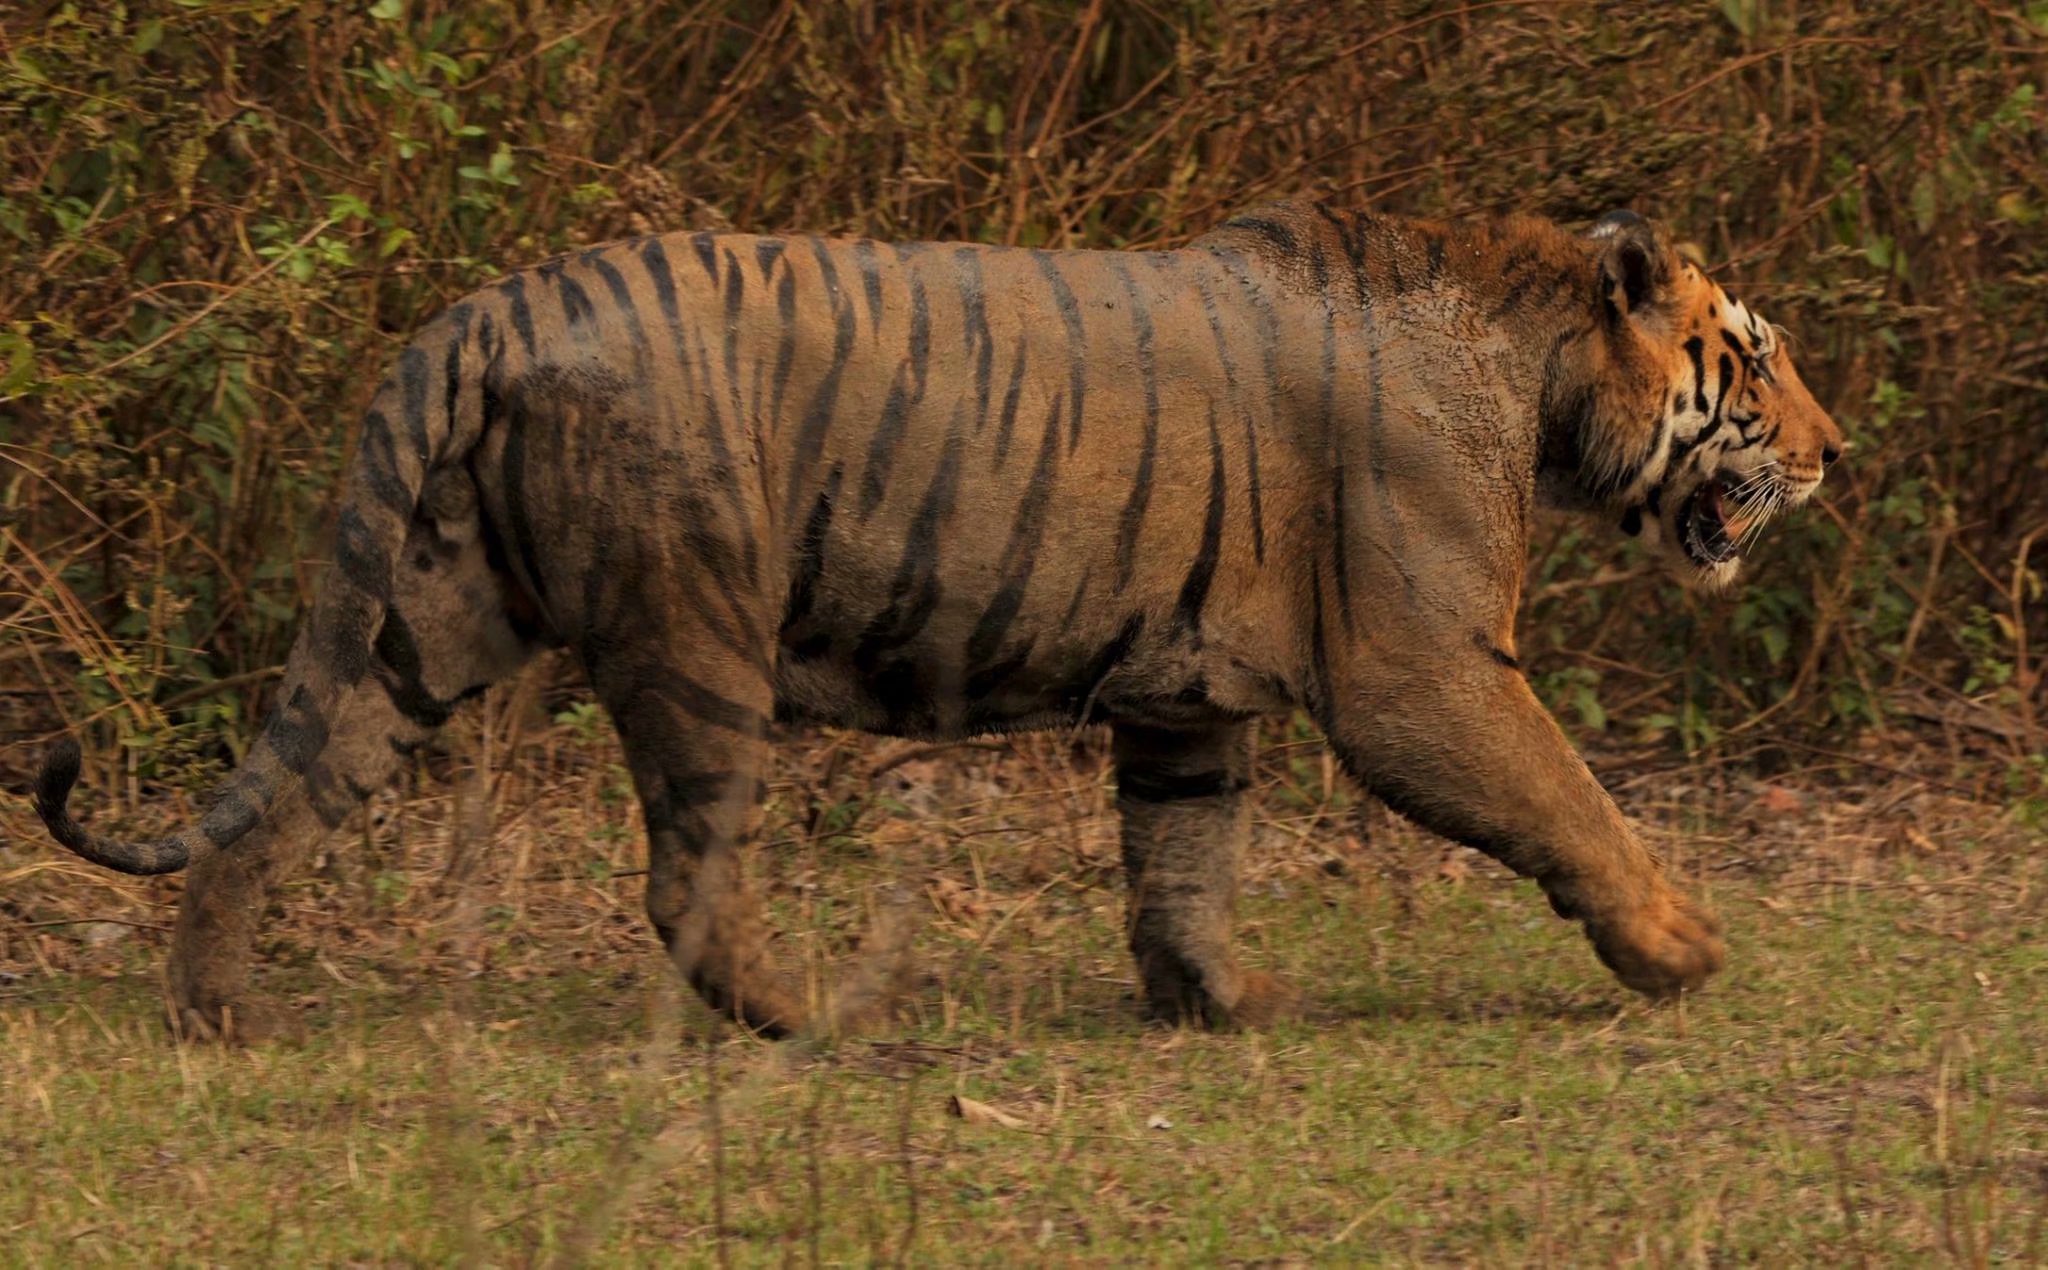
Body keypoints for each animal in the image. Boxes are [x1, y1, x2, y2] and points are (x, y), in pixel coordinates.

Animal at [32, 203, 1851, 1040]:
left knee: (271, 806)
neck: (1538, 381)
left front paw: (1221, 1001)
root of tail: (488, 308)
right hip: (699, 628)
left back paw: (216, 1015)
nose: (1841, 453)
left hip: (420, 614)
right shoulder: (1422, 670)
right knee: (685, 874)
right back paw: (819, 1020)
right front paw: (1682, 948)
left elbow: (1180, 858)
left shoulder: (1187, 702)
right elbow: (1568, 799)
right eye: (1754, 361)